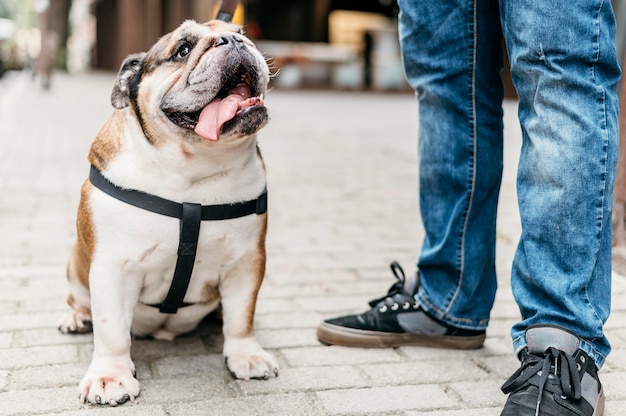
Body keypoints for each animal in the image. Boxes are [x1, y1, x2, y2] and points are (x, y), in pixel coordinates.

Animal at [59, 20, 278, 406]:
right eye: (183, 50)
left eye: (242, 32)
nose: (234, 40)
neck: (192, 172)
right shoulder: (113, 268)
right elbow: (111, 330)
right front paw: (109, 376)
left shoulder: (246, 263)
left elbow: (241, 316)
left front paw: (246, 355)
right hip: (75, 265)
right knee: (81, 300)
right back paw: (78, 317)